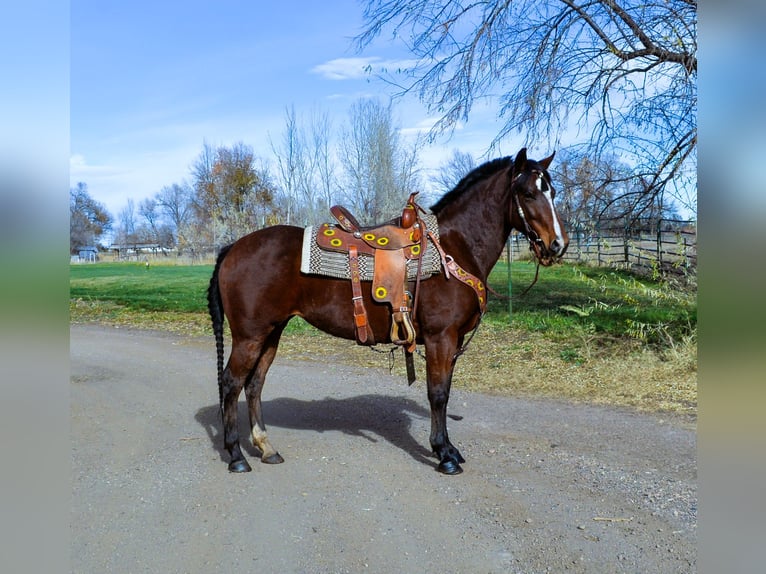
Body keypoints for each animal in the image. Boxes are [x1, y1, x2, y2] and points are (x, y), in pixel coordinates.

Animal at [210, 148, 568, 476]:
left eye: (552, 190)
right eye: (528, 192)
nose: (557, 245)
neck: (454, 249)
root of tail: (233, 247)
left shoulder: (451, 343)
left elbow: (446, 391)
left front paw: (449, 448)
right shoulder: (441, 339)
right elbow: (438, 394)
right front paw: (444, 454)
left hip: (272, 332)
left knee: (254, 384)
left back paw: (266, 448)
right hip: (250, 336)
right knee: (231, 383)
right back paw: (237, 456)